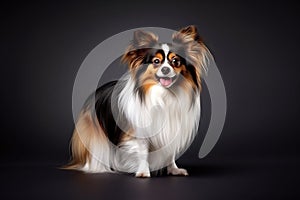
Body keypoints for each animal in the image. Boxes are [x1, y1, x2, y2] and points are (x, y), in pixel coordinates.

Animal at [65, 25, 211, 177]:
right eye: (156, 61)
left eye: (175, 61)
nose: (165, 69)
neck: (163, 95)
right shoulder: (138, 134)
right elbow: (143, 153)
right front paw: (143, 172)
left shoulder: (171, 132)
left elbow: (170, 154)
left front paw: (173, 169)